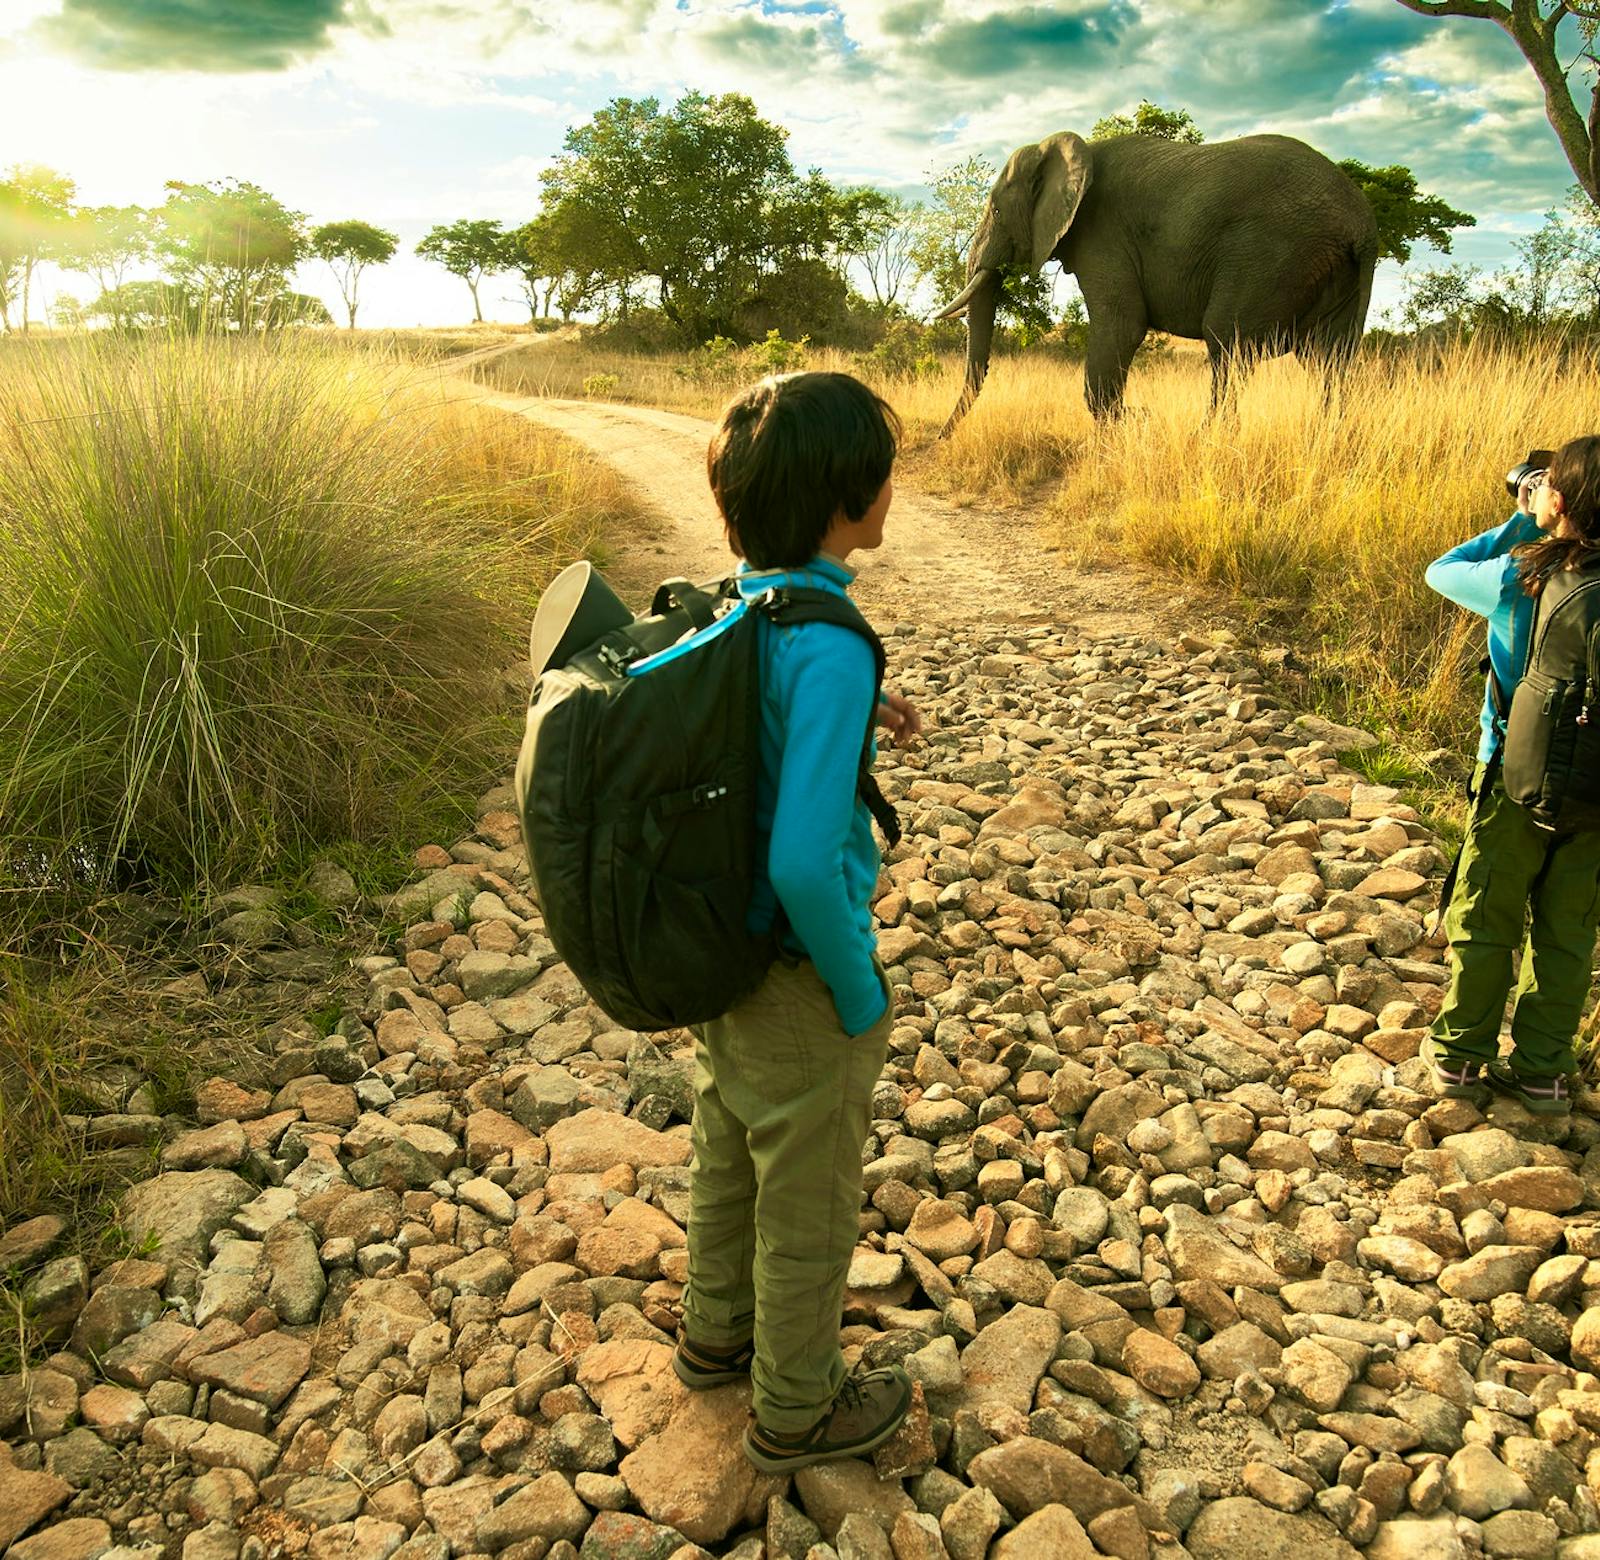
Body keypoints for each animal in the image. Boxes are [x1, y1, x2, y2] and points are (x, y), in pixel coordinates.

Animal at [935, 130, 1379, 431]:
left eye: (995, 212)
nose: (940, 438)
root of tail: (1360, 222)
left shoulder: (1102, 232)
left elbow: (1122, 325)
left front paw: (1132, 424)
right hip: (1331, 270)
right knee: (1328, 357)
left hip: (1269, 255)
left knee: (1226, 340)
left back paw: (1209, 440)